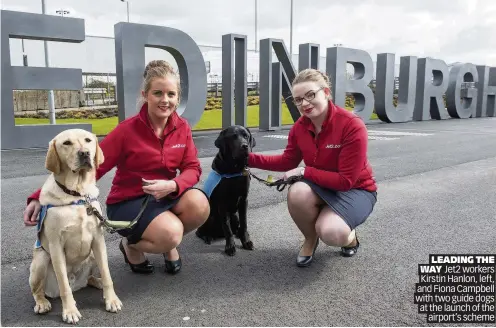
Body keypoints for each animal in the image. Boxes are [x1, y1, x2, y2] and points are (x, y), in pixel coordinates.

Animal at [29, 128, 122, 322]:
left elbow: (107, 274)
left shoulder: (98, 240)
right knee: (39, 290)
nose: (85, 153)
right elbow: (64, 285)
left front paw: (111, 299)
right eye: (66, 143)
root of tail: (76, 284)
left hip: (92, 256)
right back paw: (42, 303)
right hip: (41, 259)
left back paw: (97, 282)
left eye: (88, 140)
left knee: (91, 278)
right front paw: (70, 311)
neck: (77, 194)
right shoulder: (56, 246)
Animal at [195, 124, 256, 255]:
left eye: (246, 136)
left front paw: (246, 241)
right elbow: (227, 228)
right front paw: (230, 247)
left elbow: (244, 223)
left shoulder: (244, 200)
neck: (234, 170)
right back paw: (208, 237)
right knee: (200, 231)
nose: (245, 146)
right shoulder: (222, 203)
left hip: (235, 215)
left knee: (236, 227)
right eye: (233, 137)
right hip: (210, 216)